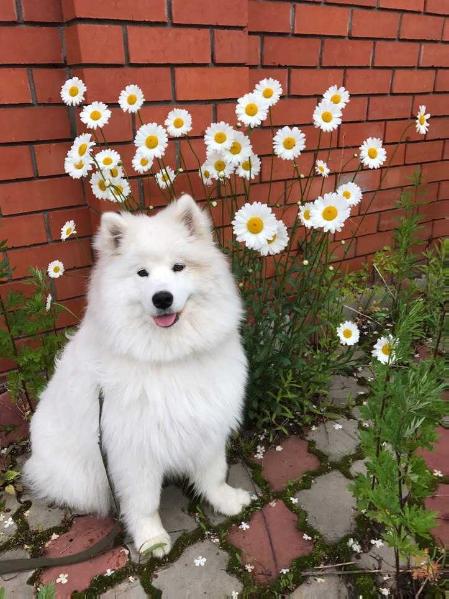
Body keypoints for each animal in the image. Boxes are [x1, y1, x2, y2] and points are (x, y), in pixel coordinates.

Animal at [24, 197, 250, 556]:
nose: (162, 298)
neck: (169, 357)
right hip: (85, 477)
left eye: (178, 267)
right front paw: (151, 539)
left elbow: (213, 474)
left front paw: (226, 501)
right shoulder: (133, 450)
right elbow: (144, 502)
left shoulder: (207, 422)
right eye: (142, 273)